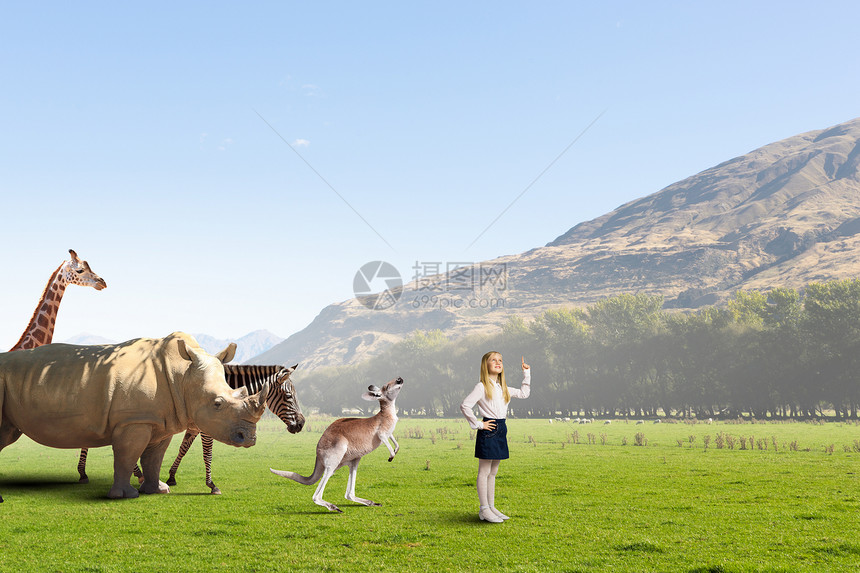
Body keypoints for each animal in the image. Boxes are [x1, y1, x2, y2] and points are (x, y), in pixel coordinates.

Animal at [76, 362, 306, 492]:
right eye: (288, 396)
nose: (302, 424)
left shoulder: (195, 427)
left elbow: (183, 449)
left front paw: (171, 476)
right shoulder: (207, 427)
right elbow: (207, 454)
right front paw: (212, 485)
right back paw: (86, 473)